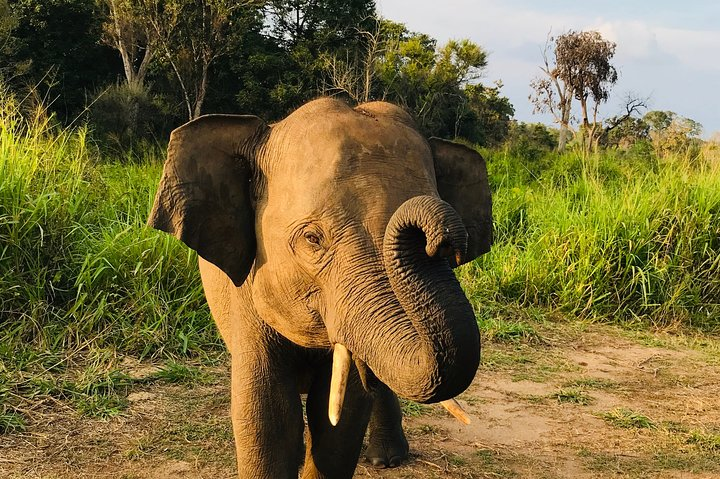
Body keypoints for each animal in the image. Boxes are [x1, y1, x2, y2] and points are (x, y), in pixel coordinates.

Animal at [148, 98, 496, 479]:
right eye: (313, 239)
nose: (443, 236)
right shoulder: (245, 292)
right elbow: (266, 414)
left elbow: (340, 421)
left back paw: (386, 459)